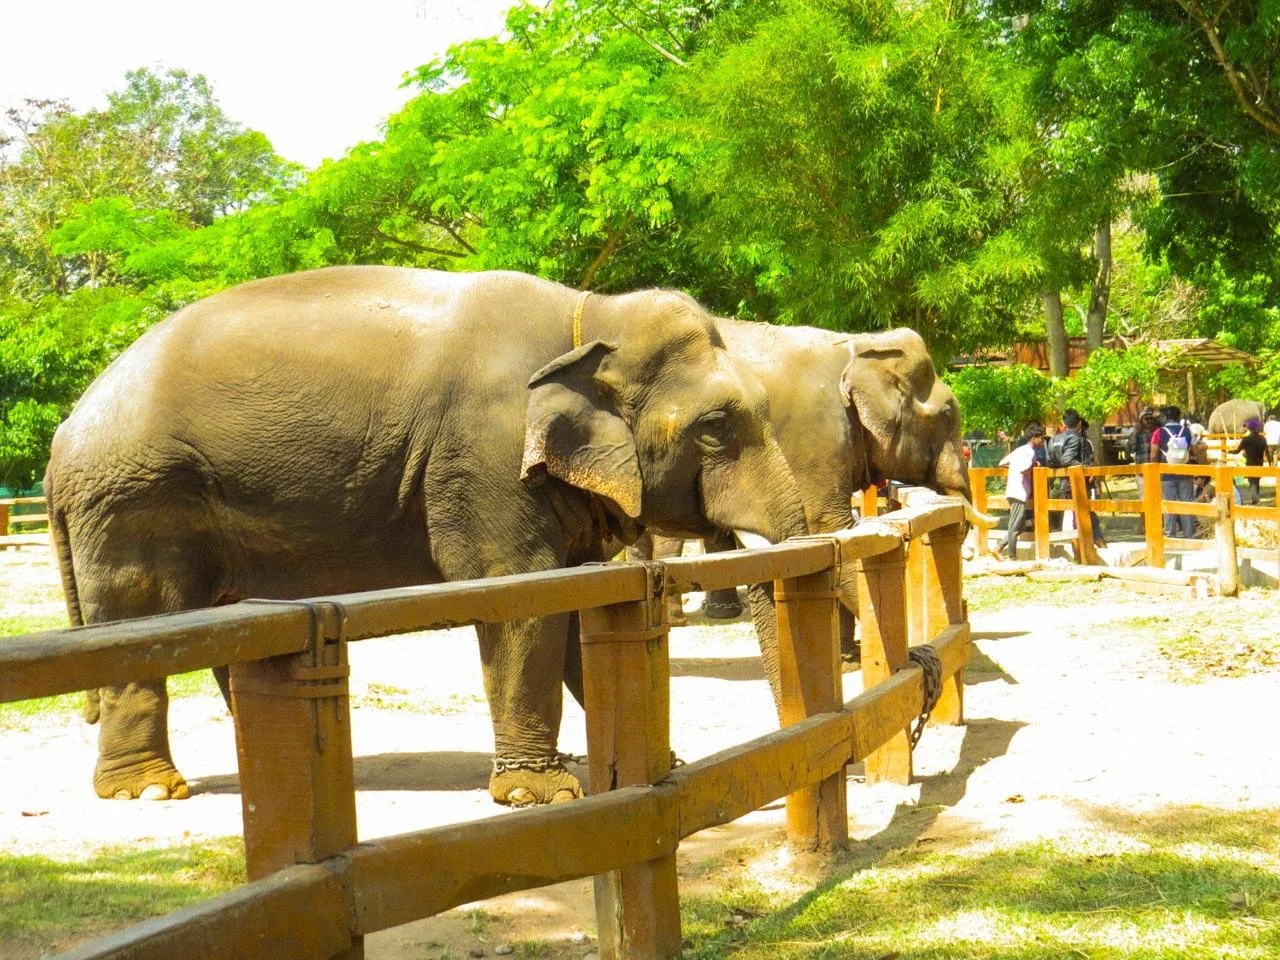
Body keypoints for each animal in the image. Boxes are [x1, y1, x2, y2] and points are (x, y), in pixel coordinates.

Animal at [45, 266, 809, 806]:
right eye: (715, 428)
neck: (589, 314)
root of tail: (65, 433)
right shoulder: (485, 456)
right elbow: (521, 595)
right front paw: (539, 795)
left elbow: (572, 600)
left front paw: (656, 766)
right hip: (133, 501)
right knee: (140, 623)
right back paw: (148, 789)